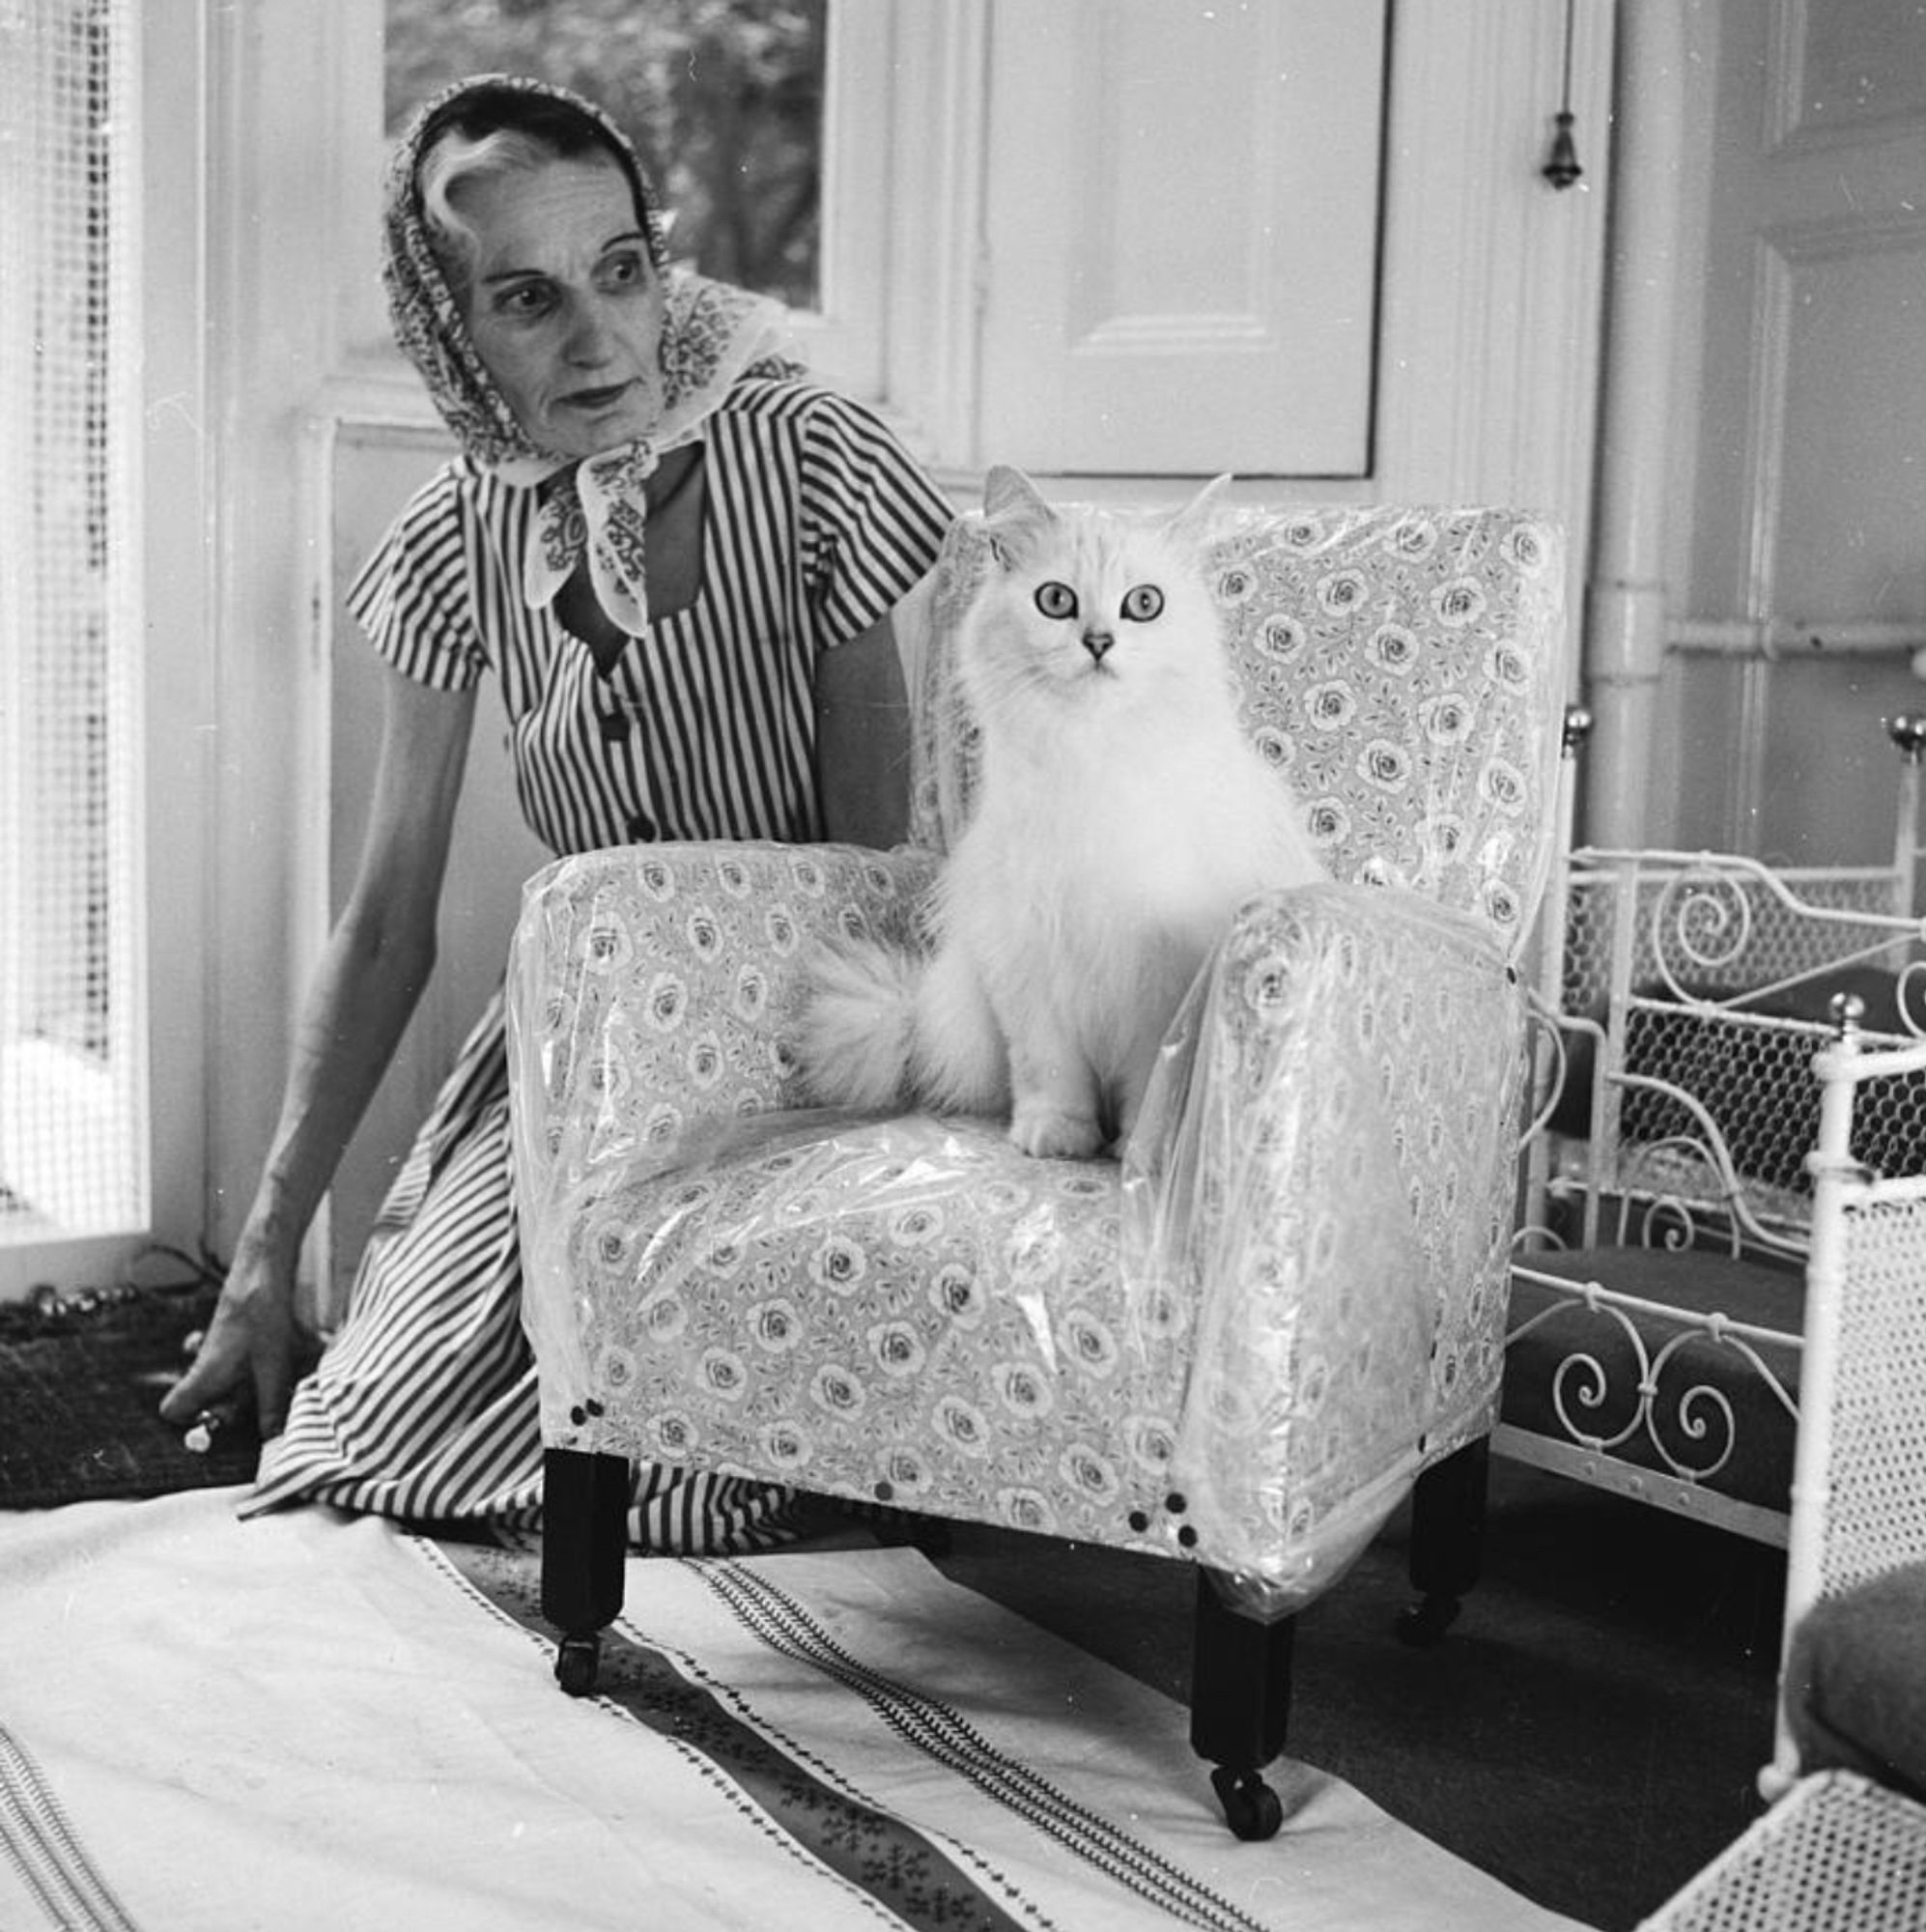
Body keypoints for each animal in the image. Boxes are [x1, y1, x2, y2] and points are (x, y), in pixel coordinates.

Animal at [796, 464, 1321, 1159]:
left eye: (1144, 604)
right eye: (1055, 601)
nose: (1099, 641)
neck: (1089, 758)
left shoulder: (1155, 969)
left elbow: (1147, 1075)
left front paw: (1134, 1151)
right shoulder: (1026, 958)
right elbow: (1050, 1073)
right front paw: (1058, 1139)